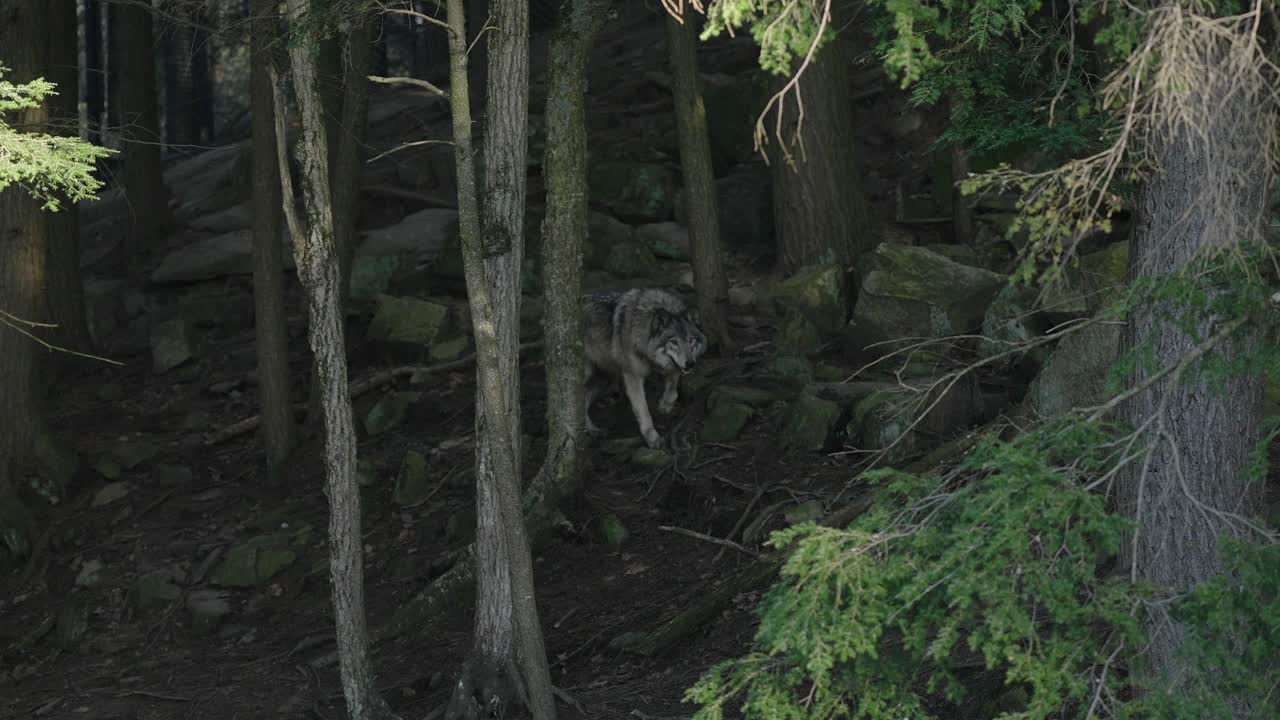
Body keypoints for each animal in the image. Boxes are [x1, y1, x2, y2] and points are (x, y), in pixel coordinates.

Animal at [581, 287, 708, 449]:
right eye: (673, 342)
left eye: (691, 340)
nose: (690, 363)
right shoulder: (632, 376)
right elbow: (643, 411)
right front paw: (653, 438)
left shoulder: (672, 366)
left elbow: (672, 388)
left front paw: (665, 406)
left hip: (603, 378)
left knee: (584, 401)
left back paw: (594, 428)